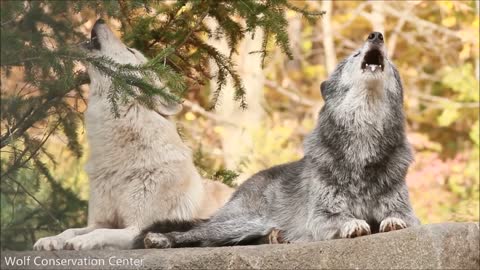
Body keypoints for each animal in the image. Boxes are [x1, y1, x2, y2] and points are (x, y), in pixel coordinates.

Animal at [33, 19, 232, 251]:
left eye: (130, 50)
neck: (118, 161)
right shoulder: (102, 220)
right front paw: (52, 239)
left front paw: (81, 241)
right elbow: (71, 230)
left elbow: (98, 233)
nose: (100, 19)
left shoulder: (136, 228)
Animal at [136, 31, 420, 249]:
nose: (376, 35)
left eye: (389, 60)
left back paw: (275, 238)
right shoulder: (320, 216)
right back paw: (159, 239)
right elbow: (340, 218)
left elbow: (400, 216)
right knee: (195, 235)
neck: (363, 140)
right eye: (354, 55)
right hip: (242, 222)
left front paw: (392, 221)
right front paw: (353, 223)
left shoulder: (408, 212)